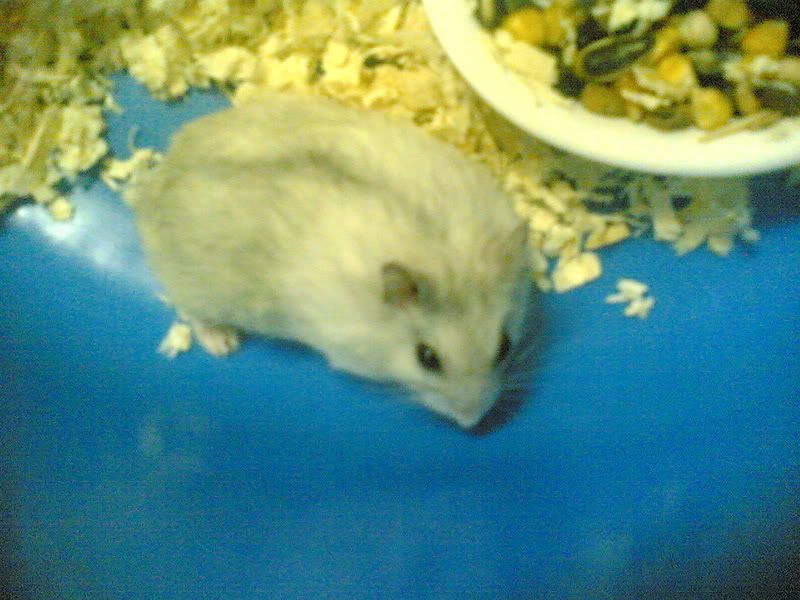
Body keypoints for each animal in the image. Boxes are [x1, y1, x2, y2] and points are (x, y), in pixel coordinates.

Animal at [132, 93, 532, 428]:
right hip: (198, 287)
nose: (472, 423)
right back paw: (223, 345)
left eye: (504, 347)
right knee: (191, 312)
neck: (443, 258)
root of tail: (152, 185)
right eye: (427, 358)